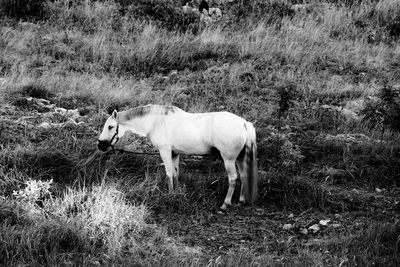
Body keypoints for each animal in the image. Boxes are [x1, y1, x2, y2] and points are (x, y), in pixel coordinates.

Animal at [98, 104, 258, 211]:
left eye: (110, 127)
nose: (100, 145)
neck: (157, 122)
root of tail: (243, 122)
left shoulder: (165, 151)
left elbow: (169, 174)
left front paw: (169, 195)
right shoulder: (175, 154)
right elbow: (175, 174)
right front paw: (176, 193)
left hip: (229, 160)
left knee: (233, 179)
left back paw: (225, 204)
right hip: (239, 158)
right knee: (243, 176)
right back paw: (241, 200)